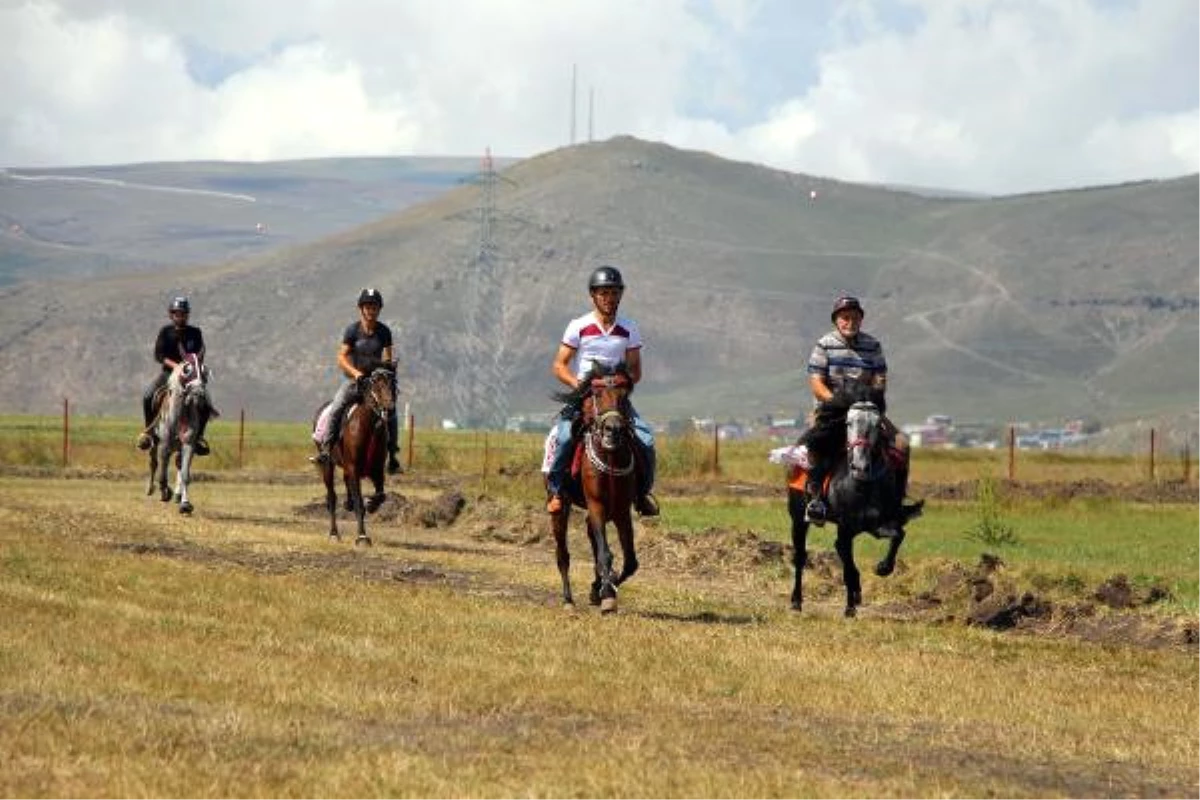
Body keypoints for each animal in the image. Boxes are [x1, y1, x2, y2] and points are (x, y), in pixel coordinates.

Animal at [312, 367, 396, 546]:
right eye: (376, 384)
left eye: (394, 384)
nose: (390, 408)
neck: (369, 426)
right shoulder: (354, 468)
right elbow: (359, 503)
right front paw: (362, 536)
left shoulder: (377, 470)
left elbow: (381, 495)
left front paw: (371, 504)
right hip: (327, 464)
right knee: (331, 497)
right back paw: (334, 534)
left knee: (345, 483)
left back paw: (348, 504)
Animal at [552, 362, 643, 614]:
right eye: (597, 394)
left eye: (624, 396)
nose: (613, 429)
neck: (610, 457)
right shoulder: (597, 505)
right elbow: (605, 554)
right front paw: (606, 593)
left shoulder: (621, 511)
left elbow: (630, 562)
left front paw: (600, 590)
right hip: (561, 507)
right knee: (562, 554)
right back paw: (568, 601)